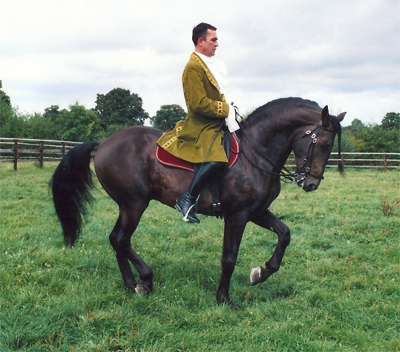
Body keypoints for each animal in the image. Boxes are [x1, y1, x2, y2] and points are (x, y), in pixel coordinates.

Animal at [50, 97, 344, 308]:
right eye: (322, 144)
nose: (311, 184)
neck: (255, 154)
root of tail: (103, 143)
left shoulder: (257, 211)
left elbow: (285, 234)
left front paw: (261, 272)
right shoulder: (238, 215)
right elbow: (229, 257)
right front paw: (224, 299)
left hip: (128, 206)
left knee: (116, 239)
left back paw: (131, 283)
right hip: (134, 204)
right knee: (121, 239)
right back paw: (144, 280)